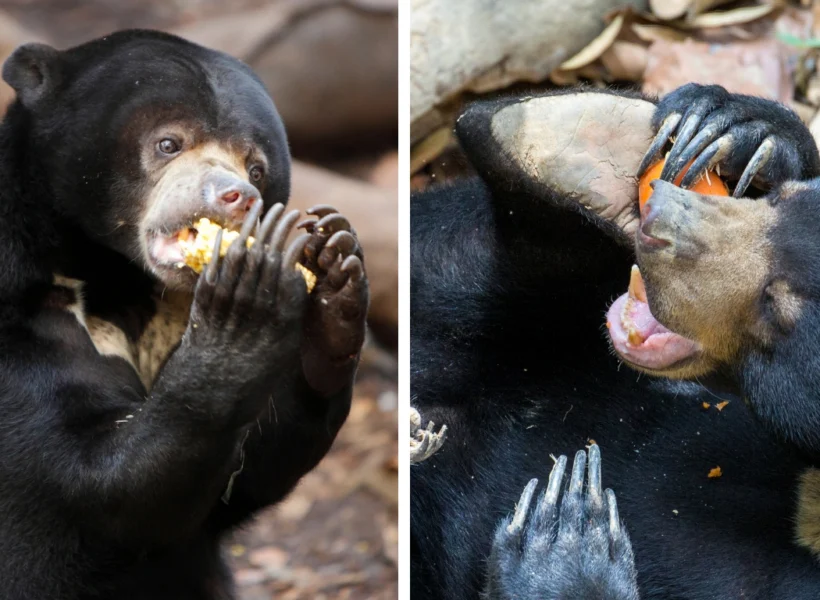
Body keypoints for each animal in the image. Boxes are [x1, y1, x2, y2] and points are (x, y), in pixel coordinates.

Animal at [0, 29, 369, 599]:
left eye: (256, 165)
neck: (117, 278)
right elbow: (101, 486)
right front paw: (249, 291)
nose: (238, 196)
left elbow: (240, 479)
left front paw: (333, 271)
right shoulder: (20, 320)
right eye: (168, 143)